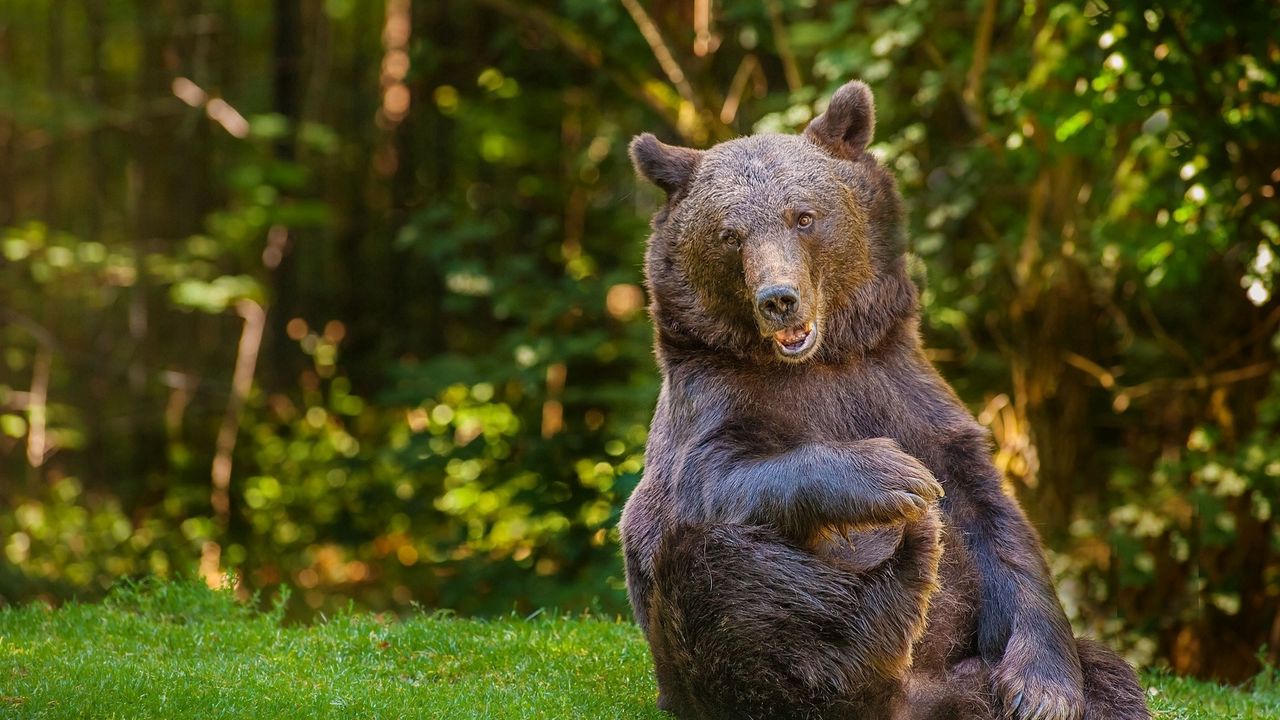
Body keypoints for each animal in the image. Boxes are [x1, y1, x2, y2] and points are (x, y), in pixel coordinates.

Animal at [619, 78, 1152, 717]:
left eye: (804, 216)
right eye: (729, 235)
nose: (779, 299)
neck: (819, 359)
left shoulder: (900, 388)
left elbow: (997, 525)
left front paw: (1042, 689)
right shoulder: (714, 401)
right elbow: (709, 479)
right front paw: (895, 477)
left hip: (973, 678)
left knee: (1112, 678)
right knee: (727, 577)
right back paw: (895, 581)